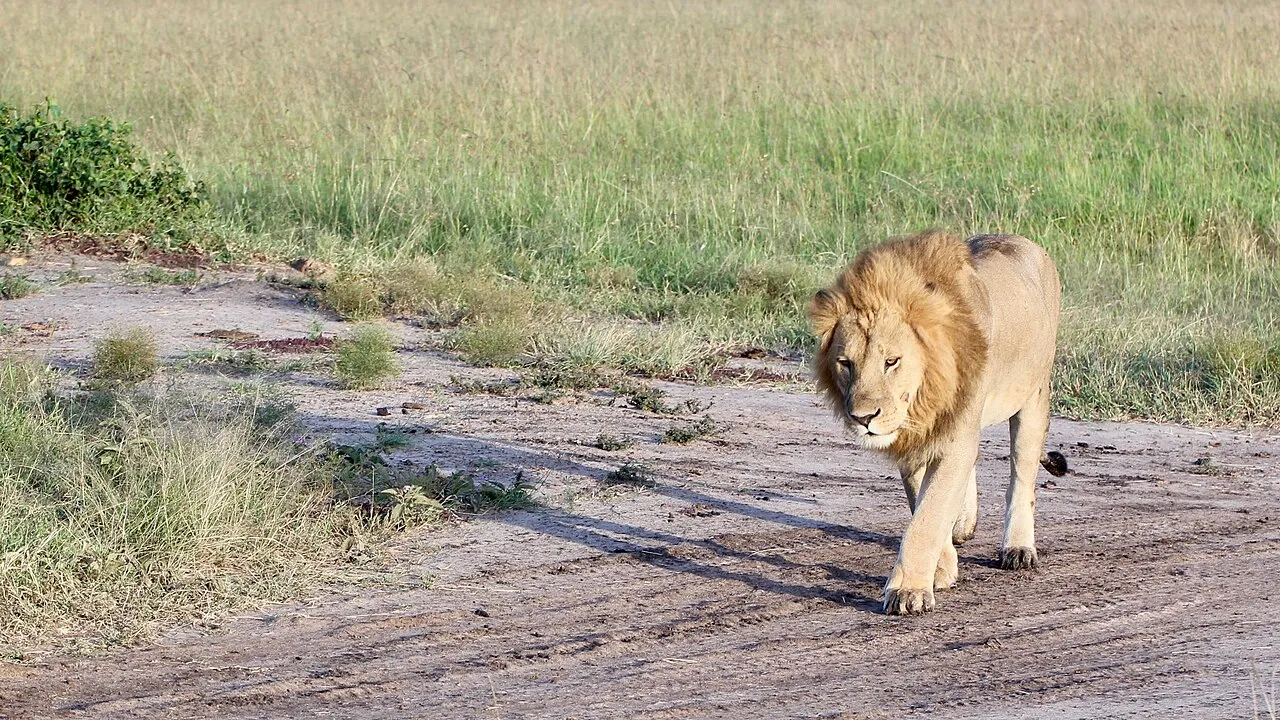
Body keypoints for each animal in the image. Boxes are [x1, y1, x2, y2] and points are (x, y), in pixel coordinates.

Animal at [808, 230, 1067, 615]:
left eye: (891, 361)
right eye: (845, 363)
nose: (863, 418)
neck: (926, 394)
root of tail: (1021, 240)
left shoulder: (955, 433)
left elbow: (927, 517)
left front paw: (908, 590)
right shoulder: (914, 442)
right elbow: (924, 503)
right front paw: (941, 568)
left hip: (1033, 395)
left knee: (1021, 476)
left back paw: (1018, 548)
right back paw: (964, 524)